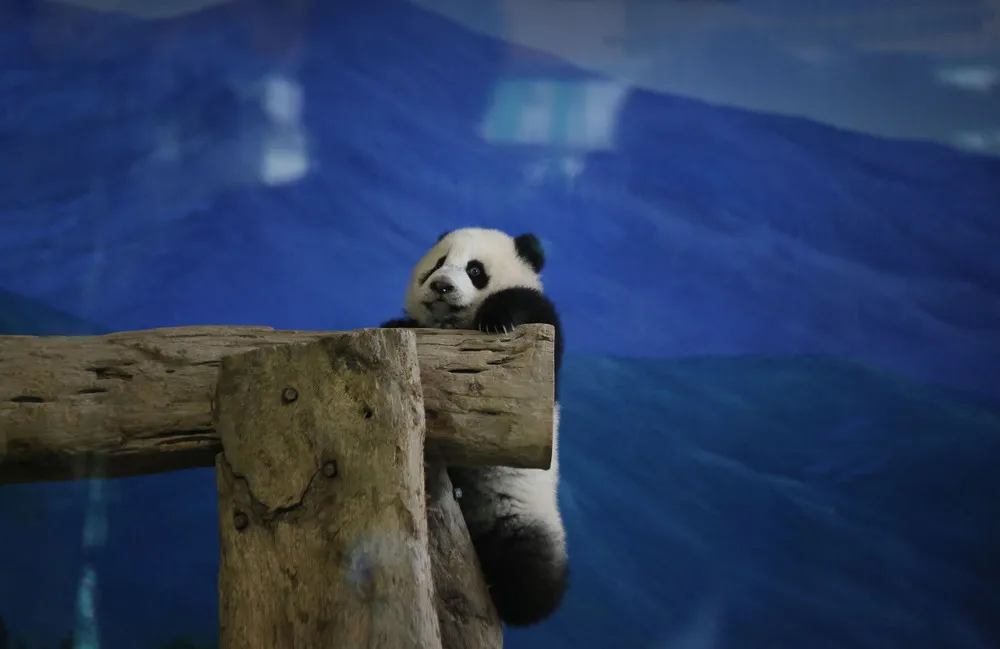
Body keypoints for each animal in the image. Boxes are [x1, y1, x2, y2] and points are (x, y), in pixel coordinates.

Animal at [379, 227, 567, 627]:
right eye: (438, 262)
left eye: (475, 270)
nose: (441, 286)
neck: (455, 327)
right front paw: (396, 325)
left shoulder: (546, 349)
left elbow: (529, 310)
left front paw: (496, 319)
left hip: (522, 513)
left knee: (531, 570)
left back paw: (511, 596)